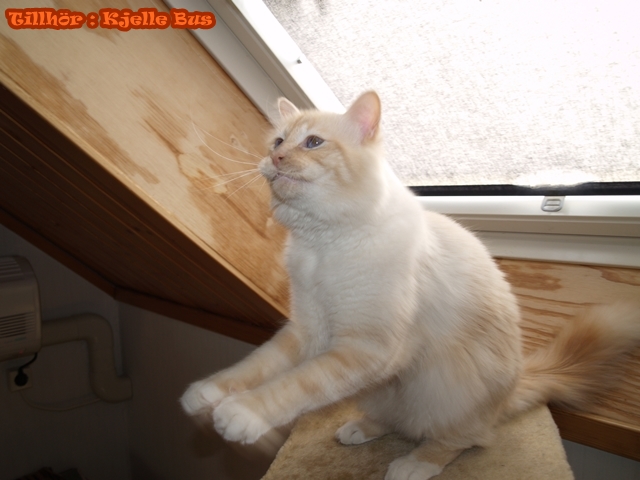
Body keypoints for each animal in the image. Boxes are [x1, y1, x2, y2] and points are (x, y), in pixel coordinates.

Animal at [181, 91, 640, 480]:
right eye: (277, 140)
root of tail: (512, 388)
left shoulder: (365, 347)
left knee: (460, 439)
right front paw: (205, 394)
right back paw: (358, 430)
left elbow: (293, 387)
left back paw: (412, 464)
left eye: (312, 143)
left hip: (445, 397)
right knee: (393, 420)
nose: (274, 157)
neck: (321, 243)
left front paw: (240, 414)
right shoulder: (310, 330)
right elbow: (254, 367)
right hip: (381, 390)